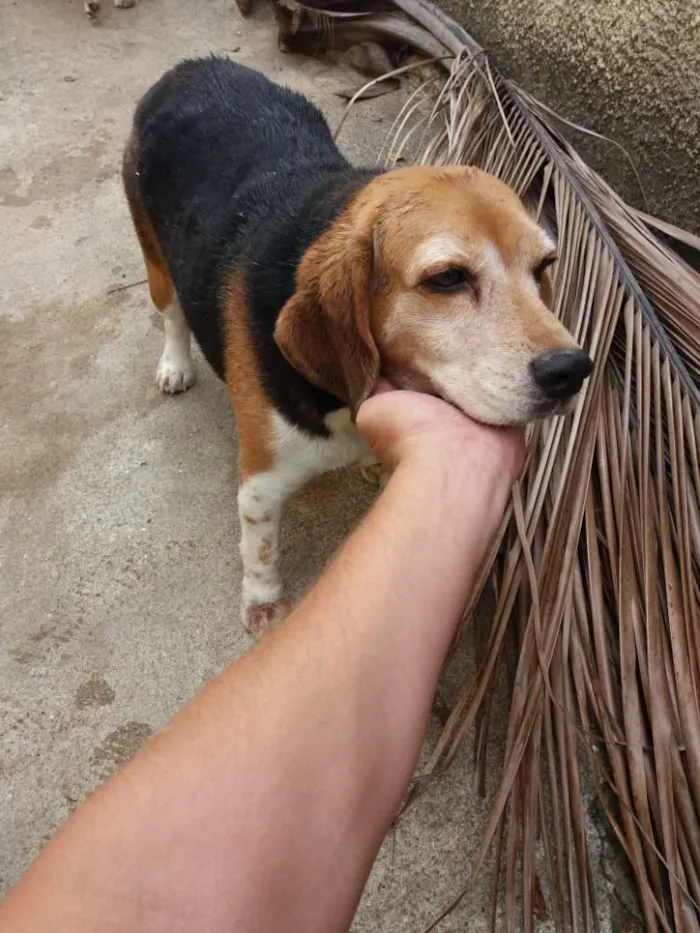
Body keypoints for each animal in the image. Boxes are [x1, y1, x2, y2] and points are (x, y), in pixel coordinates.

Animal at [123, 58, 592, 636]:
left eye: (544, 266)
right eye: (448, 278)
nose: (572, 369)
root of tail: (191, 68)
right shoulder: (260, 480)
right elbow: (261, 548)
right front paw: (262, 603)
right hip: (156, 261)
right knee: (172, 317)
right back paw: (174, 365)